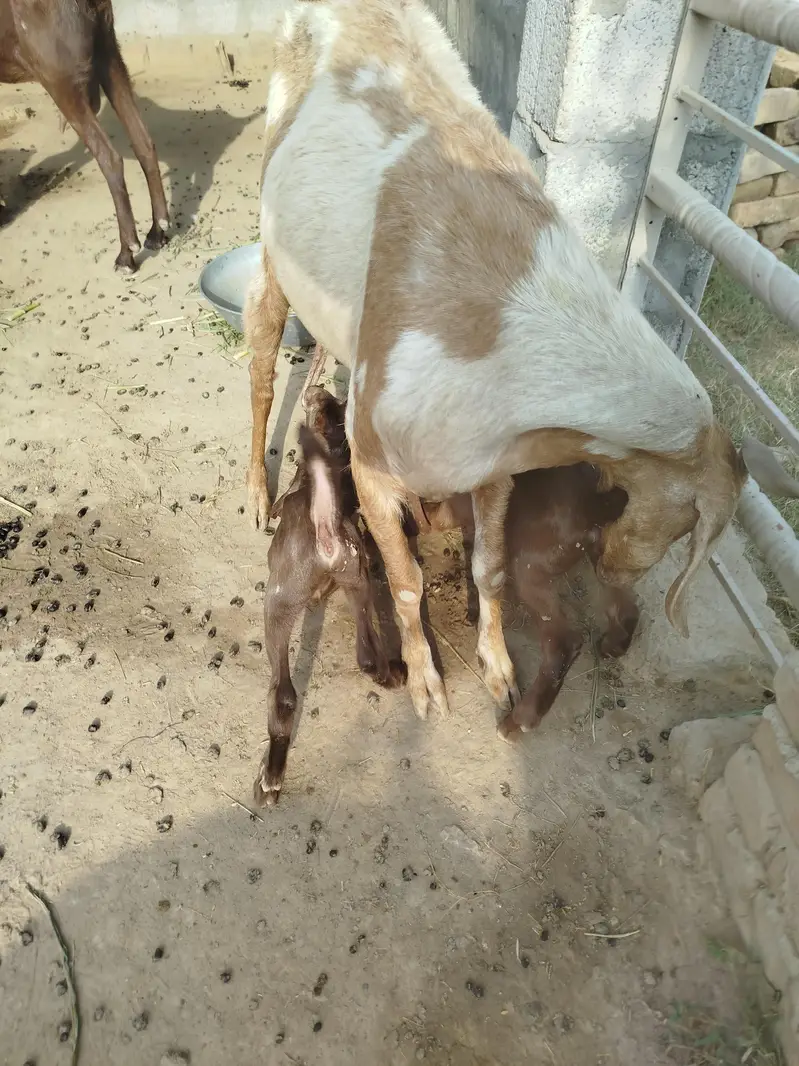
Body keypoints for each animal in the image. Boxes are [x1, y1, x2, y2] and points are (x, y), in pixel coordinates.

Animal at [0, 0, 168, 272]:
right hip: (108, 53)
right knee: (143, 139)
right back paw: (157, 231)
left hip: (59, 76)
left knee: (110, 157)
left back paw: (126, 254)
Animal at [245, 0, 789, 727]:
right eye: (687, 530)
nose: (613, 567)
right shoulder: (372, 461)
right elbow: (407, 581)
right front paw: (427, 688)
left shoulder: (496, 462)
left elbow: (490, 567)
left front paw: (499, 675)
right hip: (270, 240)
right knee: (259, 353)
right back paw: (256, 495)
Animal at [254, 386, 404, 807]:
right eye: (338, 407)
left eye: (327, 404)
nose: (315, 389)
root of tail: (326, 534)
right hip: (357, 582)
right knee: (366, 658)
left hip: (277, 604)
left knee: (283, 693)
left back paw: (269, 780)